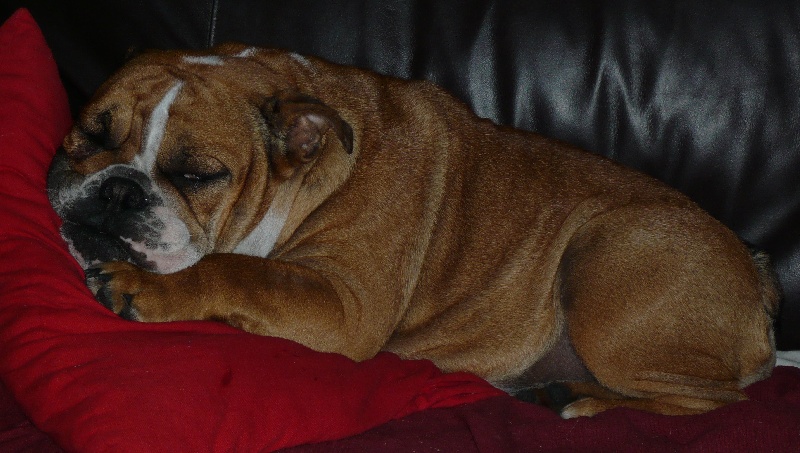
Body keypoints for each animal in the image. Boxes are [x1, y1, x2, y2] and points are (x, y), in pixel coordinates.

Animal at [47, 43, 779, 418]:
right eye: (89, 132)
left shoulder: (346, 306)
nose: (119, 189)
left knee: (712, 399)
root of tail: (761, 279)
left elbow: (236, 269)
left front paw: (142, 286)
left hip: (605, 253)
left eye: (197, 174)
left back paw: (582, 401)